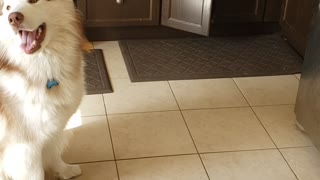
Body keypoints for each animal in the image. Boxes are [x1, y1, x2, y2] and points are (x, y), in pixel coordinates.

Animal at [0, 0, 92, 179]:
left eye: (33, 1)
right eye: (7, 8)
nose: (13, 18)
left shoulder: (51, 129)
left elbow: (54, 154)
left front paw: (65, 170)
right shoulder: (25, 147)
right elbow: (36, 174)